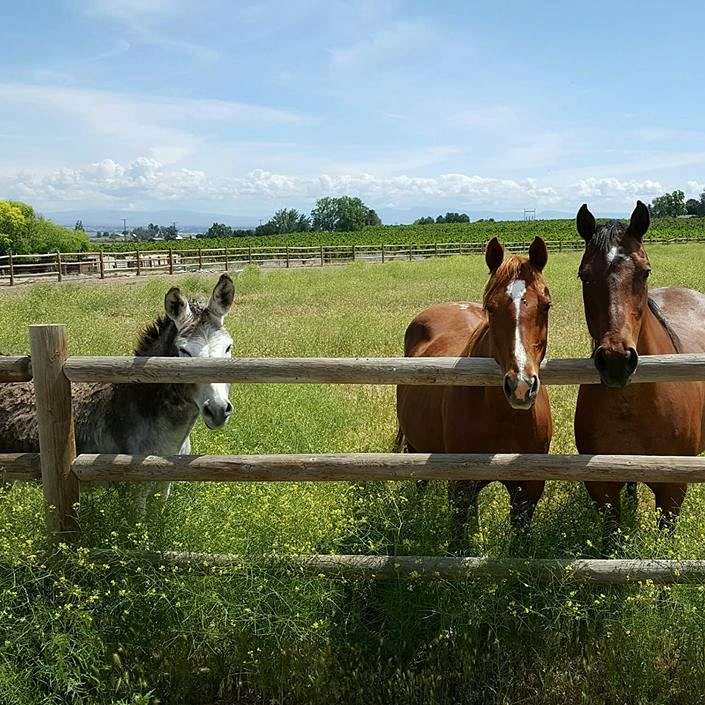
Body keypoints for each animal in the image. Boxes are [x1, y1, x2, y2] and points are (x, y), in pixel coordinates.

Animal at [394, 236, 552, 544]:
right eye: (491, 307)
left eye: (546, 306)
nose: (521, 386)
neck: (504, 418)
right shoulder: (462, 487)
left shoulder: (528, 491)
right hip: (416, 444)